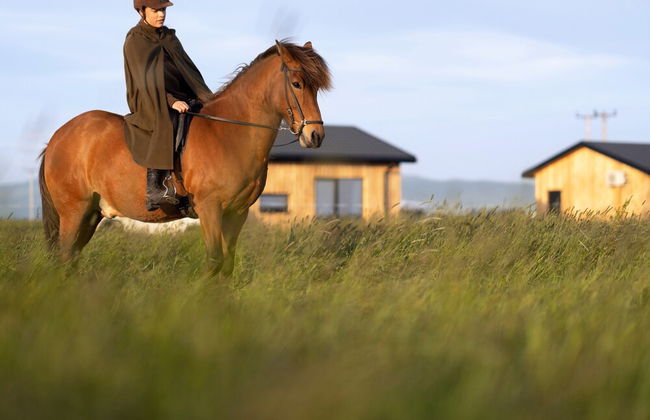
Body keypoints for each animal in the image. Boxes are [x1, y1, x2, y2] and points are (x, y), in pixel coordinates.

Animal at [38, 40, 331, 276]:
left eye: (316, 88)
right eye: (297, 84)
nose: (315, 135)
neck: (229, 133)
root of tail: (58, 137)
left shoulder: (237, 213)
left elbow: (227, 264)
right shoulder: (210, 208)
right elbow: (214, 261)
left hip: (90, 215)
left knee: (71, 258)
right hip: (73, 211)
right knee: (65, 257)